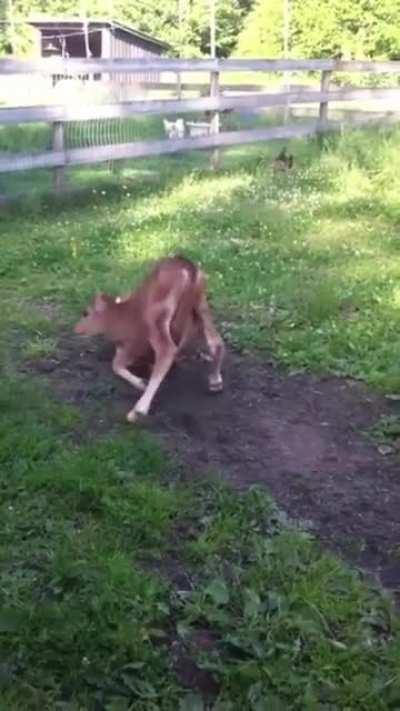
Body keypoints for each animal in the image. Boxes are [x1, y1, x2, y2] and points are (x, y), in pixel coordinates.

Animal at [74, 256, 225, 423]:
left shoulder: (133, 344)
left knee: (167, 350)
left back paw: (138, 410)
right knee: (215, 341)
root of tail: (187, 267)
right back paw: (215, 381)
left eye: (85, 313)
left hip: (156, 316)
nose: (75, 328)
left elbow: (116, 364)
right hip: (201, 304)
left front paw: (142, 383)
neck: (120, 317)